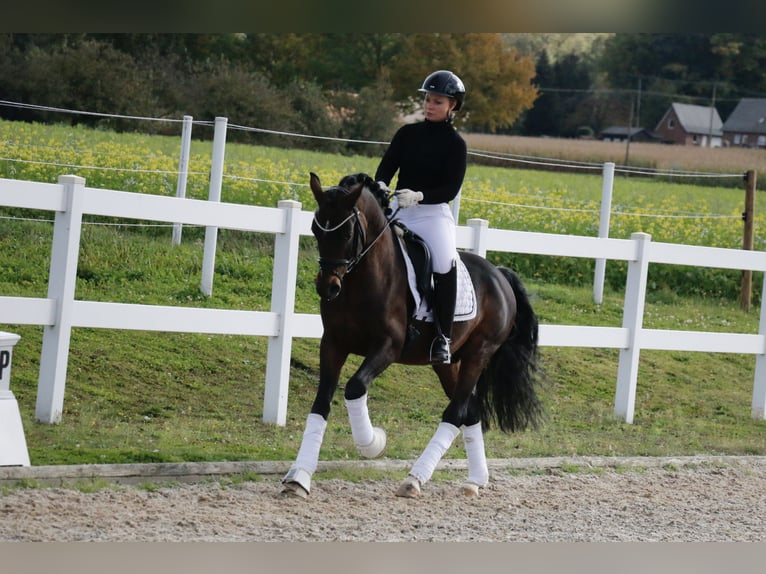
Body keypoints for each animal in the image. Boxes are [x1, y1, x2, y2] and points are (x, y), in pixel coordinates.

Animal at [280, 171, 544, 500]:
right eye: (316, 229)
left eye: (346, 233)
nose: (328, 288)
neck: (361, 281)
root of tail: (499, 274)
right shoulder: (333, 344)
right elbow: (320, 403)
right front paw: (299, 477)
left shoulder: (388, 347)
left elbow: (354, 387)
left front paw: (373, 443)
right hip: (447, 363)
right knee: (470, 411)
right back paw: (475, 480)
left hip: (478, 354)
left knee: (455, 412)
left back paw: (415, 479)